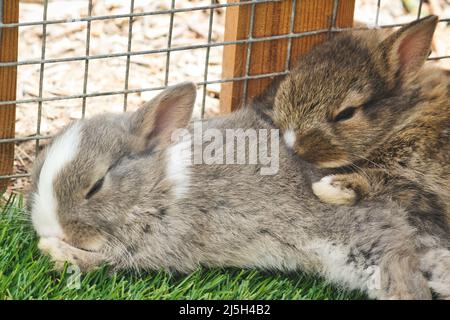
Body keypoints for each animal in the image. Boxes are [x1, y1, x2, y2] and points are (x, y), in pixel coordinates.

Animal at [27, 83, 450, 300]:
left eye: (96, 185)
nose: (48, 227)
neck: (161, 183)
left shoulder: (160, 244)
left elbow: (104, 261)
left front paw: (53, 250)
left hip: (367, 246)